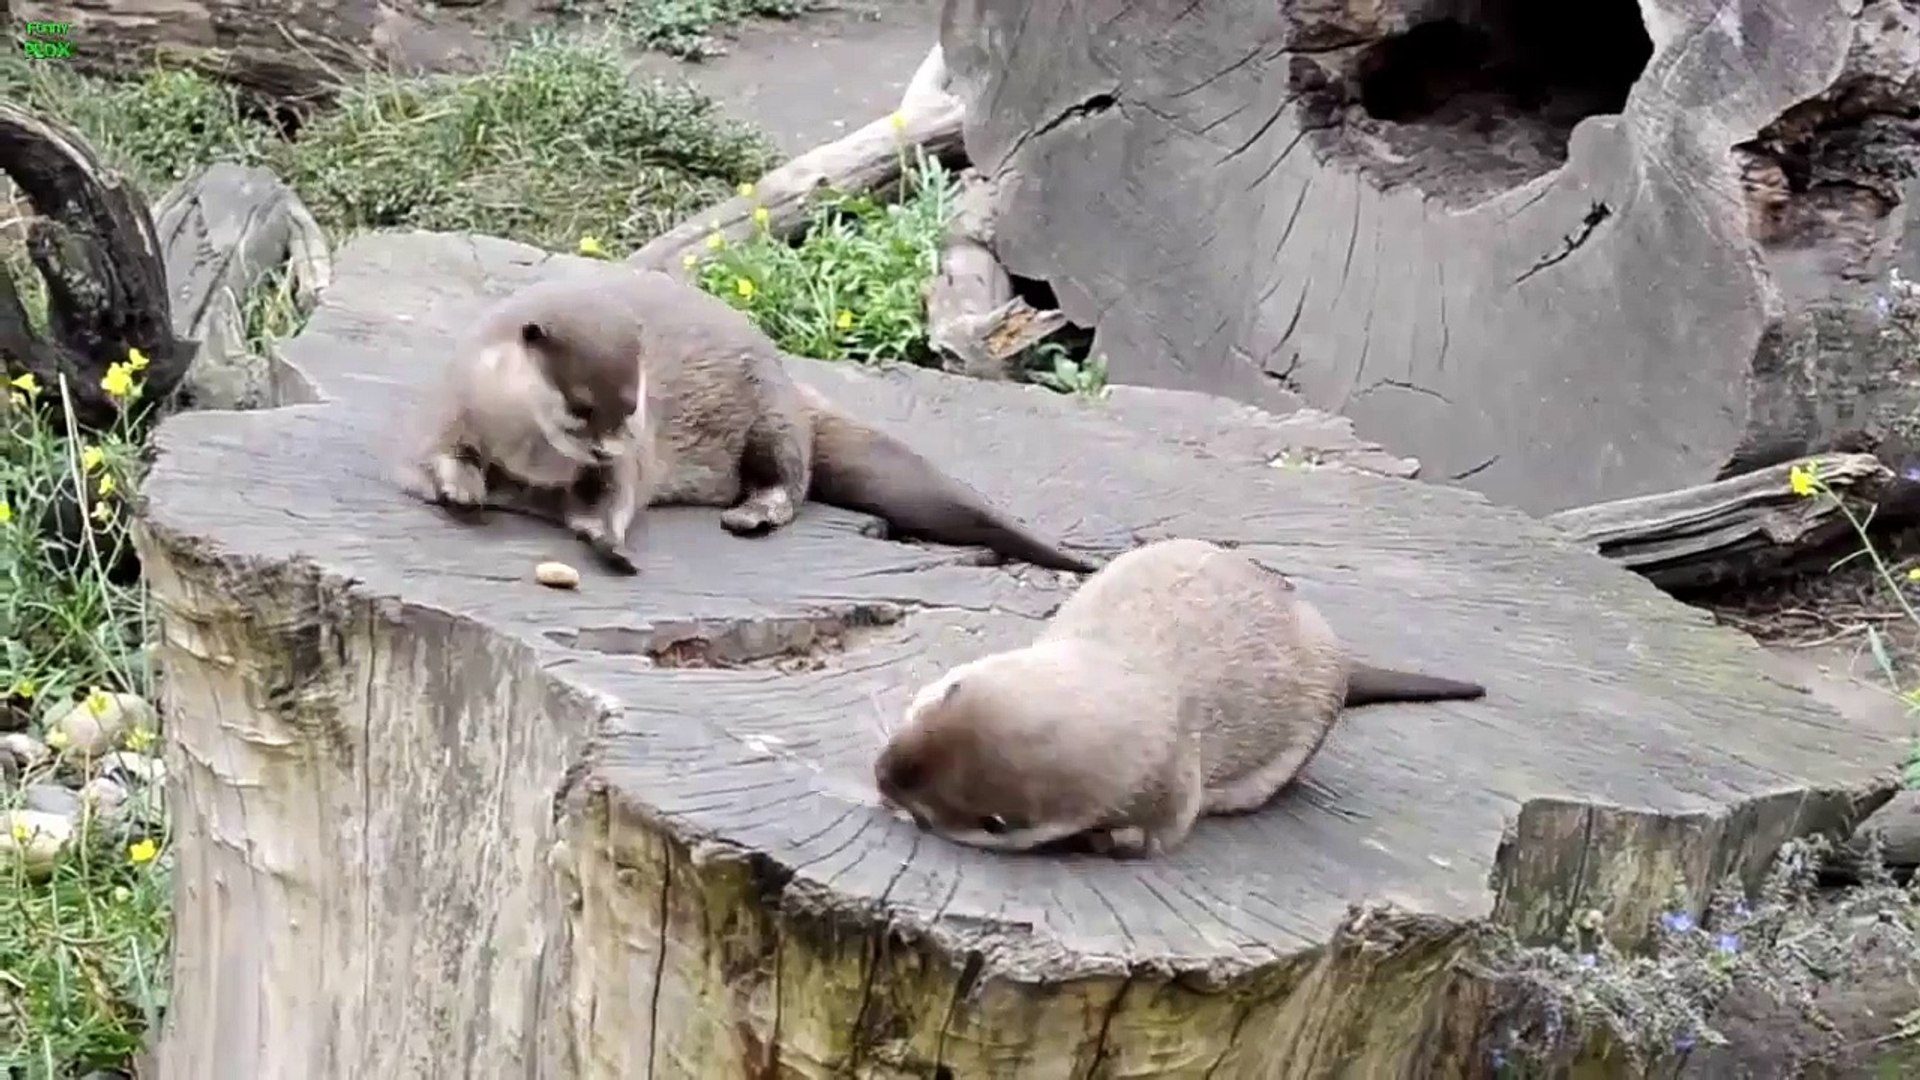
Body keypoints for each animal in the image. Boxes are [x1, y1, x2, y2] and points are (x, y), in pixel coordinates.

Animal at [872, 537, 1485, 857]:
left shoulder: (1172, 786)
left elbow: (1160, 836)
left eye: (989, 821)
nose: (885, 774)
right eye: (936, 699)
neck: (1129, 670)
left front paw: (1109, 840)